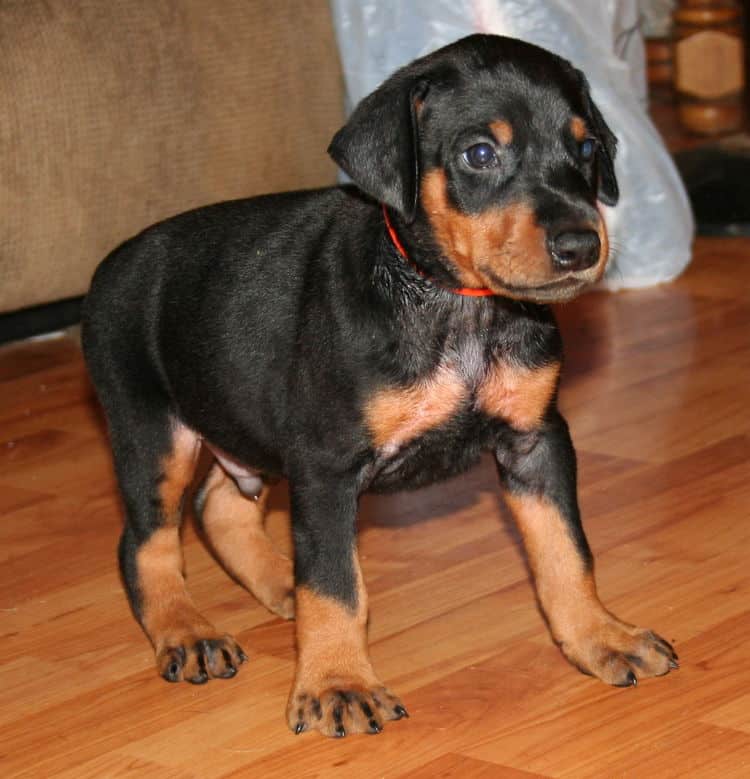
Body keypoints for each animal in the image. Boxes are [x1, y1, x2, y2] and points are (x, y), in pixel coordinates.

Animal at [83, 32, 680, 736]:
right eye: (479, 154)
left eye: (586, 150)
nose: (581, 245)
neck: (456, 303)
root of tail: (109, 267)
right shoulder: (327, 464)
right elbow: (335, 584)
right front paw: (338, 682)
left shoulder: (536, 439)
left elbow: (566, 551)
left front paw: (600, 636)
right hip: (154, 431)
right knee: (146, 541)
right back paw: (186, 632)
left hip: (246, 425)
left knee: (221, 507)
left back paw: (282, 584)